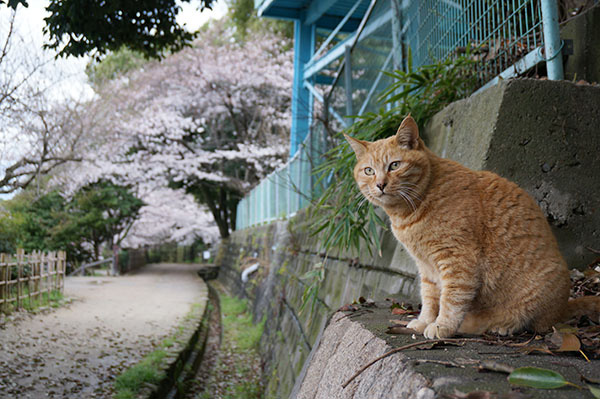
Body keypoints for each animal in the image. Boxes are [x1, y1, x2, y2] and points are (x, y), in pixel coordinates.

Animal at [344, 114, 600, 340]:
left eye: (394, 165)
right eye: (369, 170)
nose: (380, 184)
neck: (408, 213)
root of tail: (565, 305)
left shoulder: (457, 260)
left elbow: (451, 299)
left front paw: (442, 326)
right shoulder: (426, 268)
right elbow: (430, 298)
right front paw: (425, 321)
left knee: (537, 323)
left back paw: (504, 325)